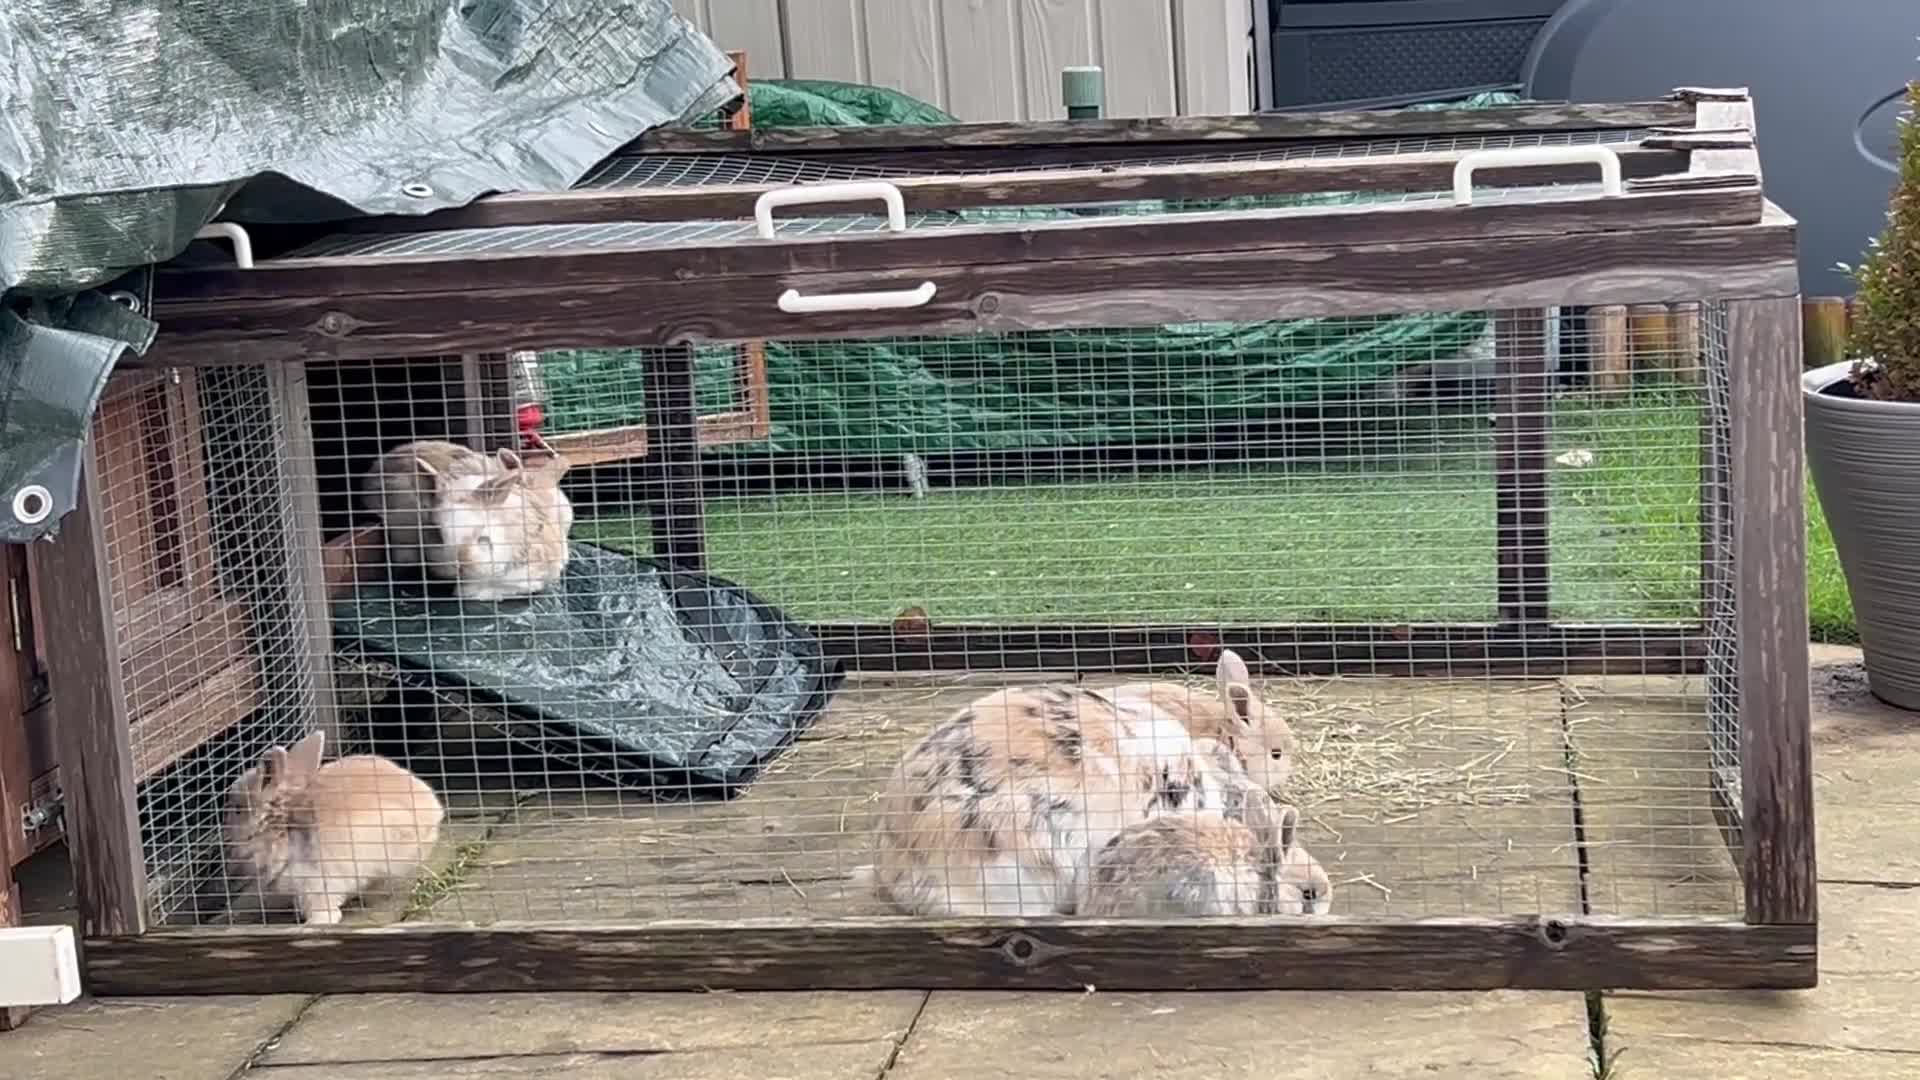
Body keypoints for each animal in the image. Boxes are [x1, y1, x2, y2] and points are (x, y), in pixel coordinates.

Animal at [223, 730, 445, 926]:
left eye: (237, 809)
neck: (282, 825)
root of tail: (435, 810)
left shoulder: (315, 883)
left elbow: (325, 911)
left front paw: (312, 924)